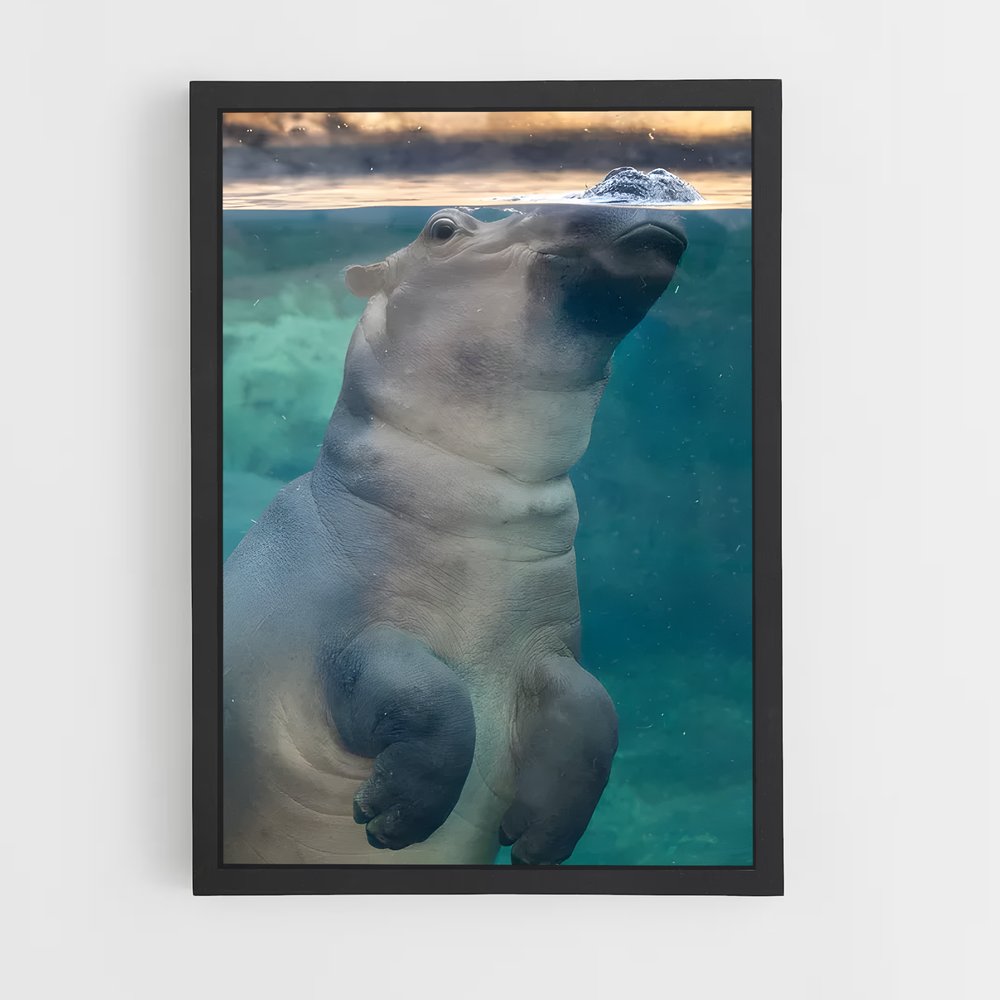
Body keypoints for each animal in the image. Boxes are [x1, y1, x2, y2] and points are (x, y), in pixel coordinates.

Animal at [222, 202, 687, 864]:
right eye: (441, 229)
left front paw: (536, 843)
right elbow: (430, 699)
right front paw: (391, 821)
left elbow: (596, 711)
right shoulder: (337, 635)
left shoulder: (546, 646)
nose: (621, 193)